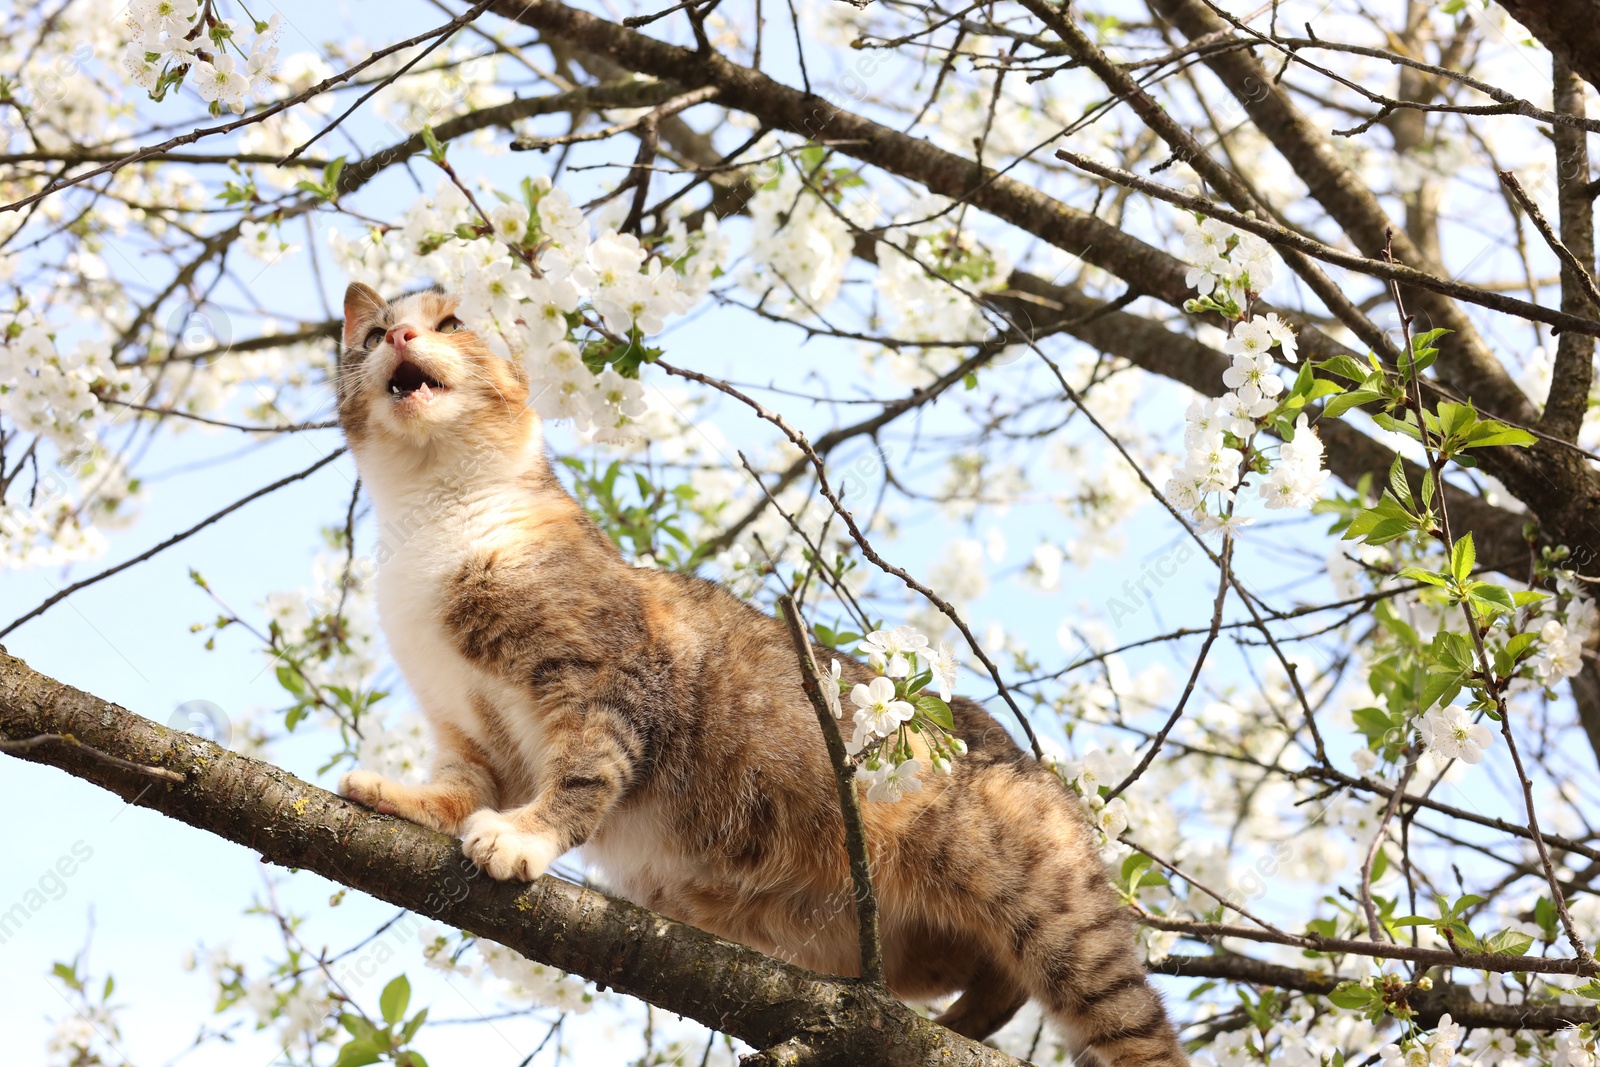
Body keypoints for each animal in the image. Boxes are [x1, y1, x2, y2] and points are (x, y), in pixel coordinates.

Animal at [334, 279, 1190, 1062]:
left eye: (452, 321)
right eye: (374, 333)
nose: (402, 335)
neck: (436, 524)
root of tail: (1029, 758)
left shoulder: (604, 681)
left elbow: (583, 773)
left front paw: (523, 835)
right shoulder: (467, 724)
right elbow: (460, 786)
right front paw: (406, 798)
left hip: (1050, 909)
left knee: (1124, 1018)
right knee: (999, 980)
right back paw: (955, 1026)